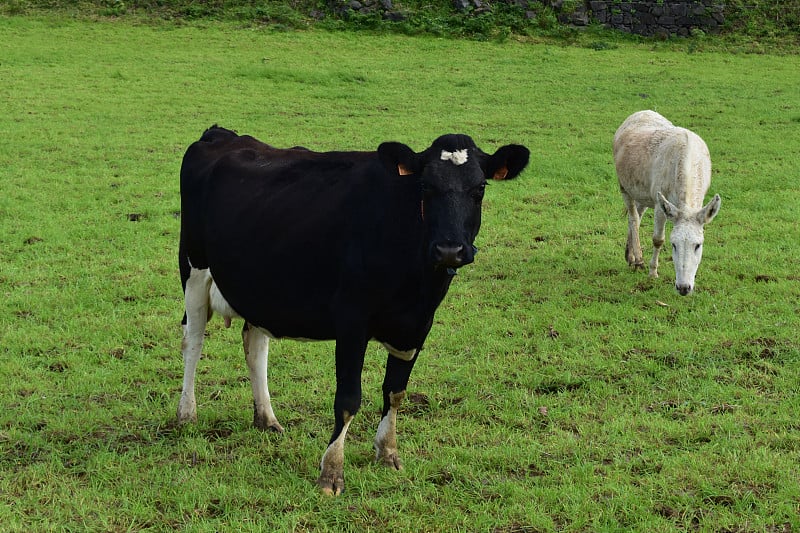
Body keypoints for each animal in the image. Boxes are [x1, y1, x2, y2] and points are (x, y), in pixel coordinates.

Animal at [177, 125, 528, 494]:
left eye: (480, 188)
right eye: (425, 186)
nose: (449, 249)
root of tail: (223, 134)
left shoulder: (417, 326)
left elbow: (395, 392)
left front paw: (388, 452)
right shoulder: (351, 321)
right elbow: (347, 399)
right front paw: (331, 472)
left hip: (258, 286)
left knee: (255, 344)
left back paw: (267, 419)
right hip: (194, 268)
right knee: (193, 341)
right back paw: (186, 414)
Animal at [616, 109, 720, 296]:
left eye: (698, 245)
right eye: (674, 245)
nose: (684, 288)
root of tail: (640, 112)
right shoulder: (659, 204)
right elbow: (658, 239)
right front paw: (652, 272)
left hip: (643, 192)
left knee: (637, 215)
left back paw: (630, 256)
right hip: (624, 186)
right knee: (633, 217)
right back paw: (638, 260)